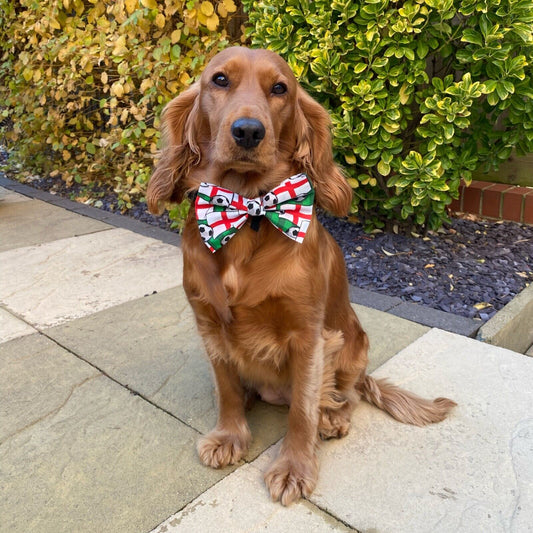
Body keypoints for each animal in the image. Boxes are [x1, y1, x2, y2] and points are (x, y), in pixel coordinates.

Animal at [148, 45, 456, 502]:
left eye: (280, 89)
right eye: (219, 80)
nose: (248, 132)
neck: (248, 214)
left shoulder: (308, 336)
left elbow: (302, 410)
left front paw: (294, 467)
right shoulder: (209, 323)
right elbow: (226, 389)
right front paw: (229, 436)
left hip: (353, 345)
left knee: (346, 395)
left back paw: (333, 418)